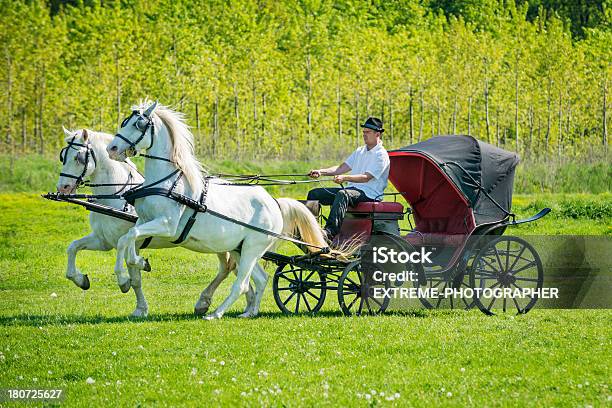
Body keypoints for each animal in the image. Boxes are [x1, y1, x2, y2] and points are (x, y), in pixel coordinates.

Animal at [56, 129, 246, 318]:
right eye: (63, 156)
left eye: (78, 157)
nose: (62, 188)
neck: (118, 196)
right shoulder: (103, 241)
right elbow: (73, 247)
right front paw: (80, 279)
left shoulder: (133, 243)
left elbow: (134, 277)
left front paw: (130, 288)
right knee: (227, 268)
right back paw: (209, 302)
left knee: (229, 267)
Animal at [106, 101, 334, 318]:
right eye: (125, 122)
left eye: (138, 124)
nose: (112, 149)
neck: (167, 184)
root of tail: (274, 202)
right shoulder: (145, 221)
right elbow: (127, 237)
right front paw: (135, 266)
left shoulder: (167, 226)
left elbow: (129, 236)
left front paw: (125, 275)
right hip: (241, 248)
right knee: (260, 280)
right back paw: (249, 312)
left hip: (252, 247)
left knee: (242, 284)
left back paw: (215, 313)